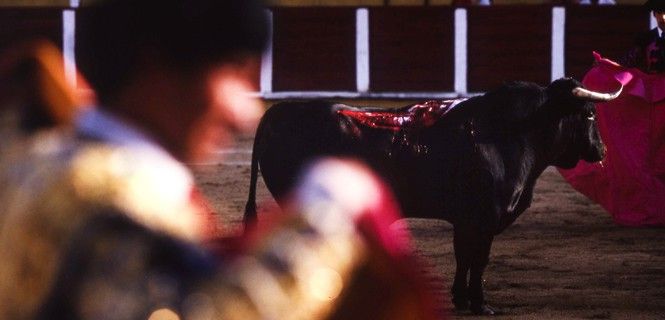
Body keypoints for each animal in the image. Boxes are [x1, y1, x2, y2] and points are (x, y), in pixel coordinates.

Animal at [244, 78, 624, 316]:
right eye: (590, 114)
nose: (603, 150)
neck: (512, 133)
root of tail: (278, 112)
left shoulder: (465, 220)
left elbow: (463, 257)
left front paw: (461, 299)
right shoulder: (484, 217)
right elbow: (479, 259)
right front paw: (481, 305)